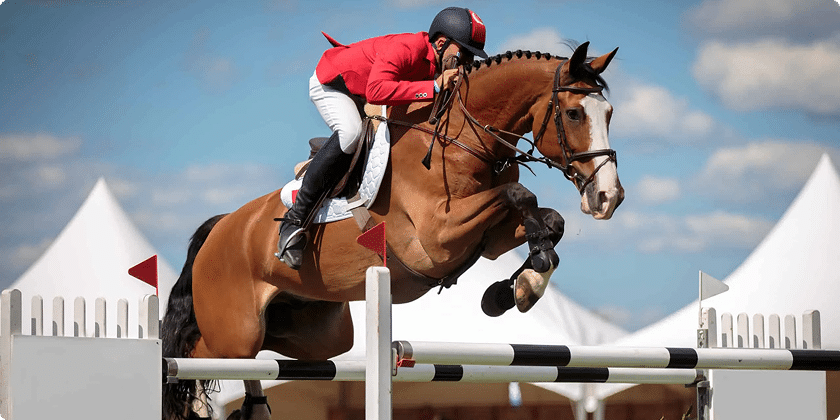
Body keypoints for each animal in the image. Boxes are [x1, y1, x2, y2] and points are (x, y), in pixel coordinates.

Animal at [161, 41, 623, 420]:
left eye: (610, 114)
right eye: (574, 113)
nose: (608, 197)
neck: (461, 142)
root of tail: (221, 228)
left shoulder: (488, 240)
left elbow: (549, 219)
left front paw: (517, 288)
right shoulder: (437, 239)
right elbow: (519, 193)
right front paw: (519, 284)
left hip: (316, 334)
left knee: (258, 358)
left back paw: (254, 408)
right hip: (235, 331)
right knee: (190, 355)